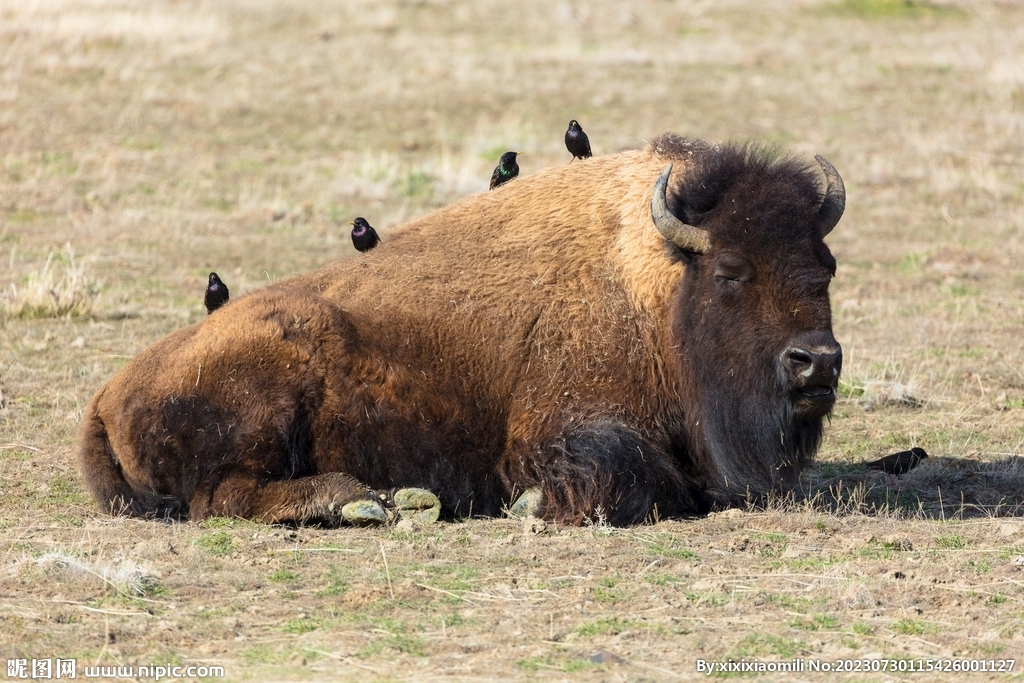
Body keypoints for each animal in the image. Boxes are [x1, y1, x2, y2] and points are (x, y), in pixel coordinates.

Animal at [77, 135, 847, 528]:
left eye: (826, 265)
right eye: (730, 271)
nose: (816, 362)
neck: (655, 283)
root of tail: (105, 398)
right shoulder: (560, 429)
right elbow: (637, 478)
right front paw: (531, 502)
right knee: (225, 497)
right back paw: (364, 501)